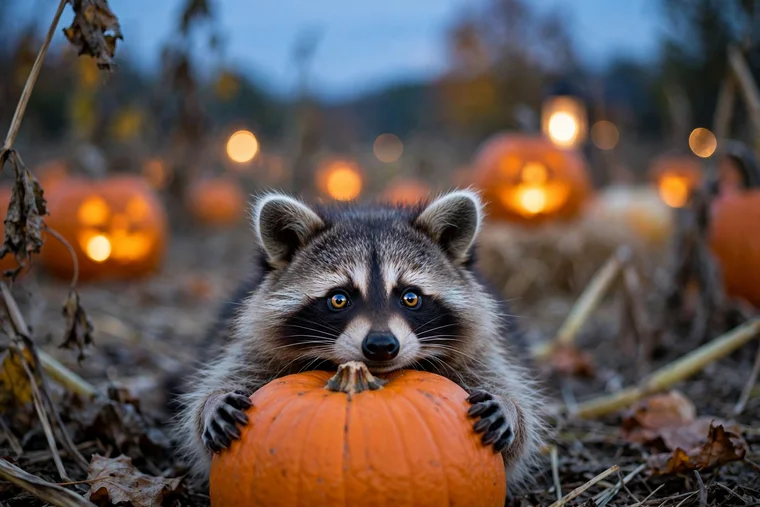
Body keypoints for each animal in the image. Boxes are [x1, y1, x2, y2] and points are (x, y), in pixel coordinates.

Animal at [175, 189, 546, 490]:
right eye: (339, 299)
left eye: (410, 297)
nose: (381, 346)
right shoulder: (249, 345)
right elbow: (225, 381)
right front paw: (213, 402)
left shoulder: (483, 350)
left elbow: (513, 419)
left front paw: (509, 408)